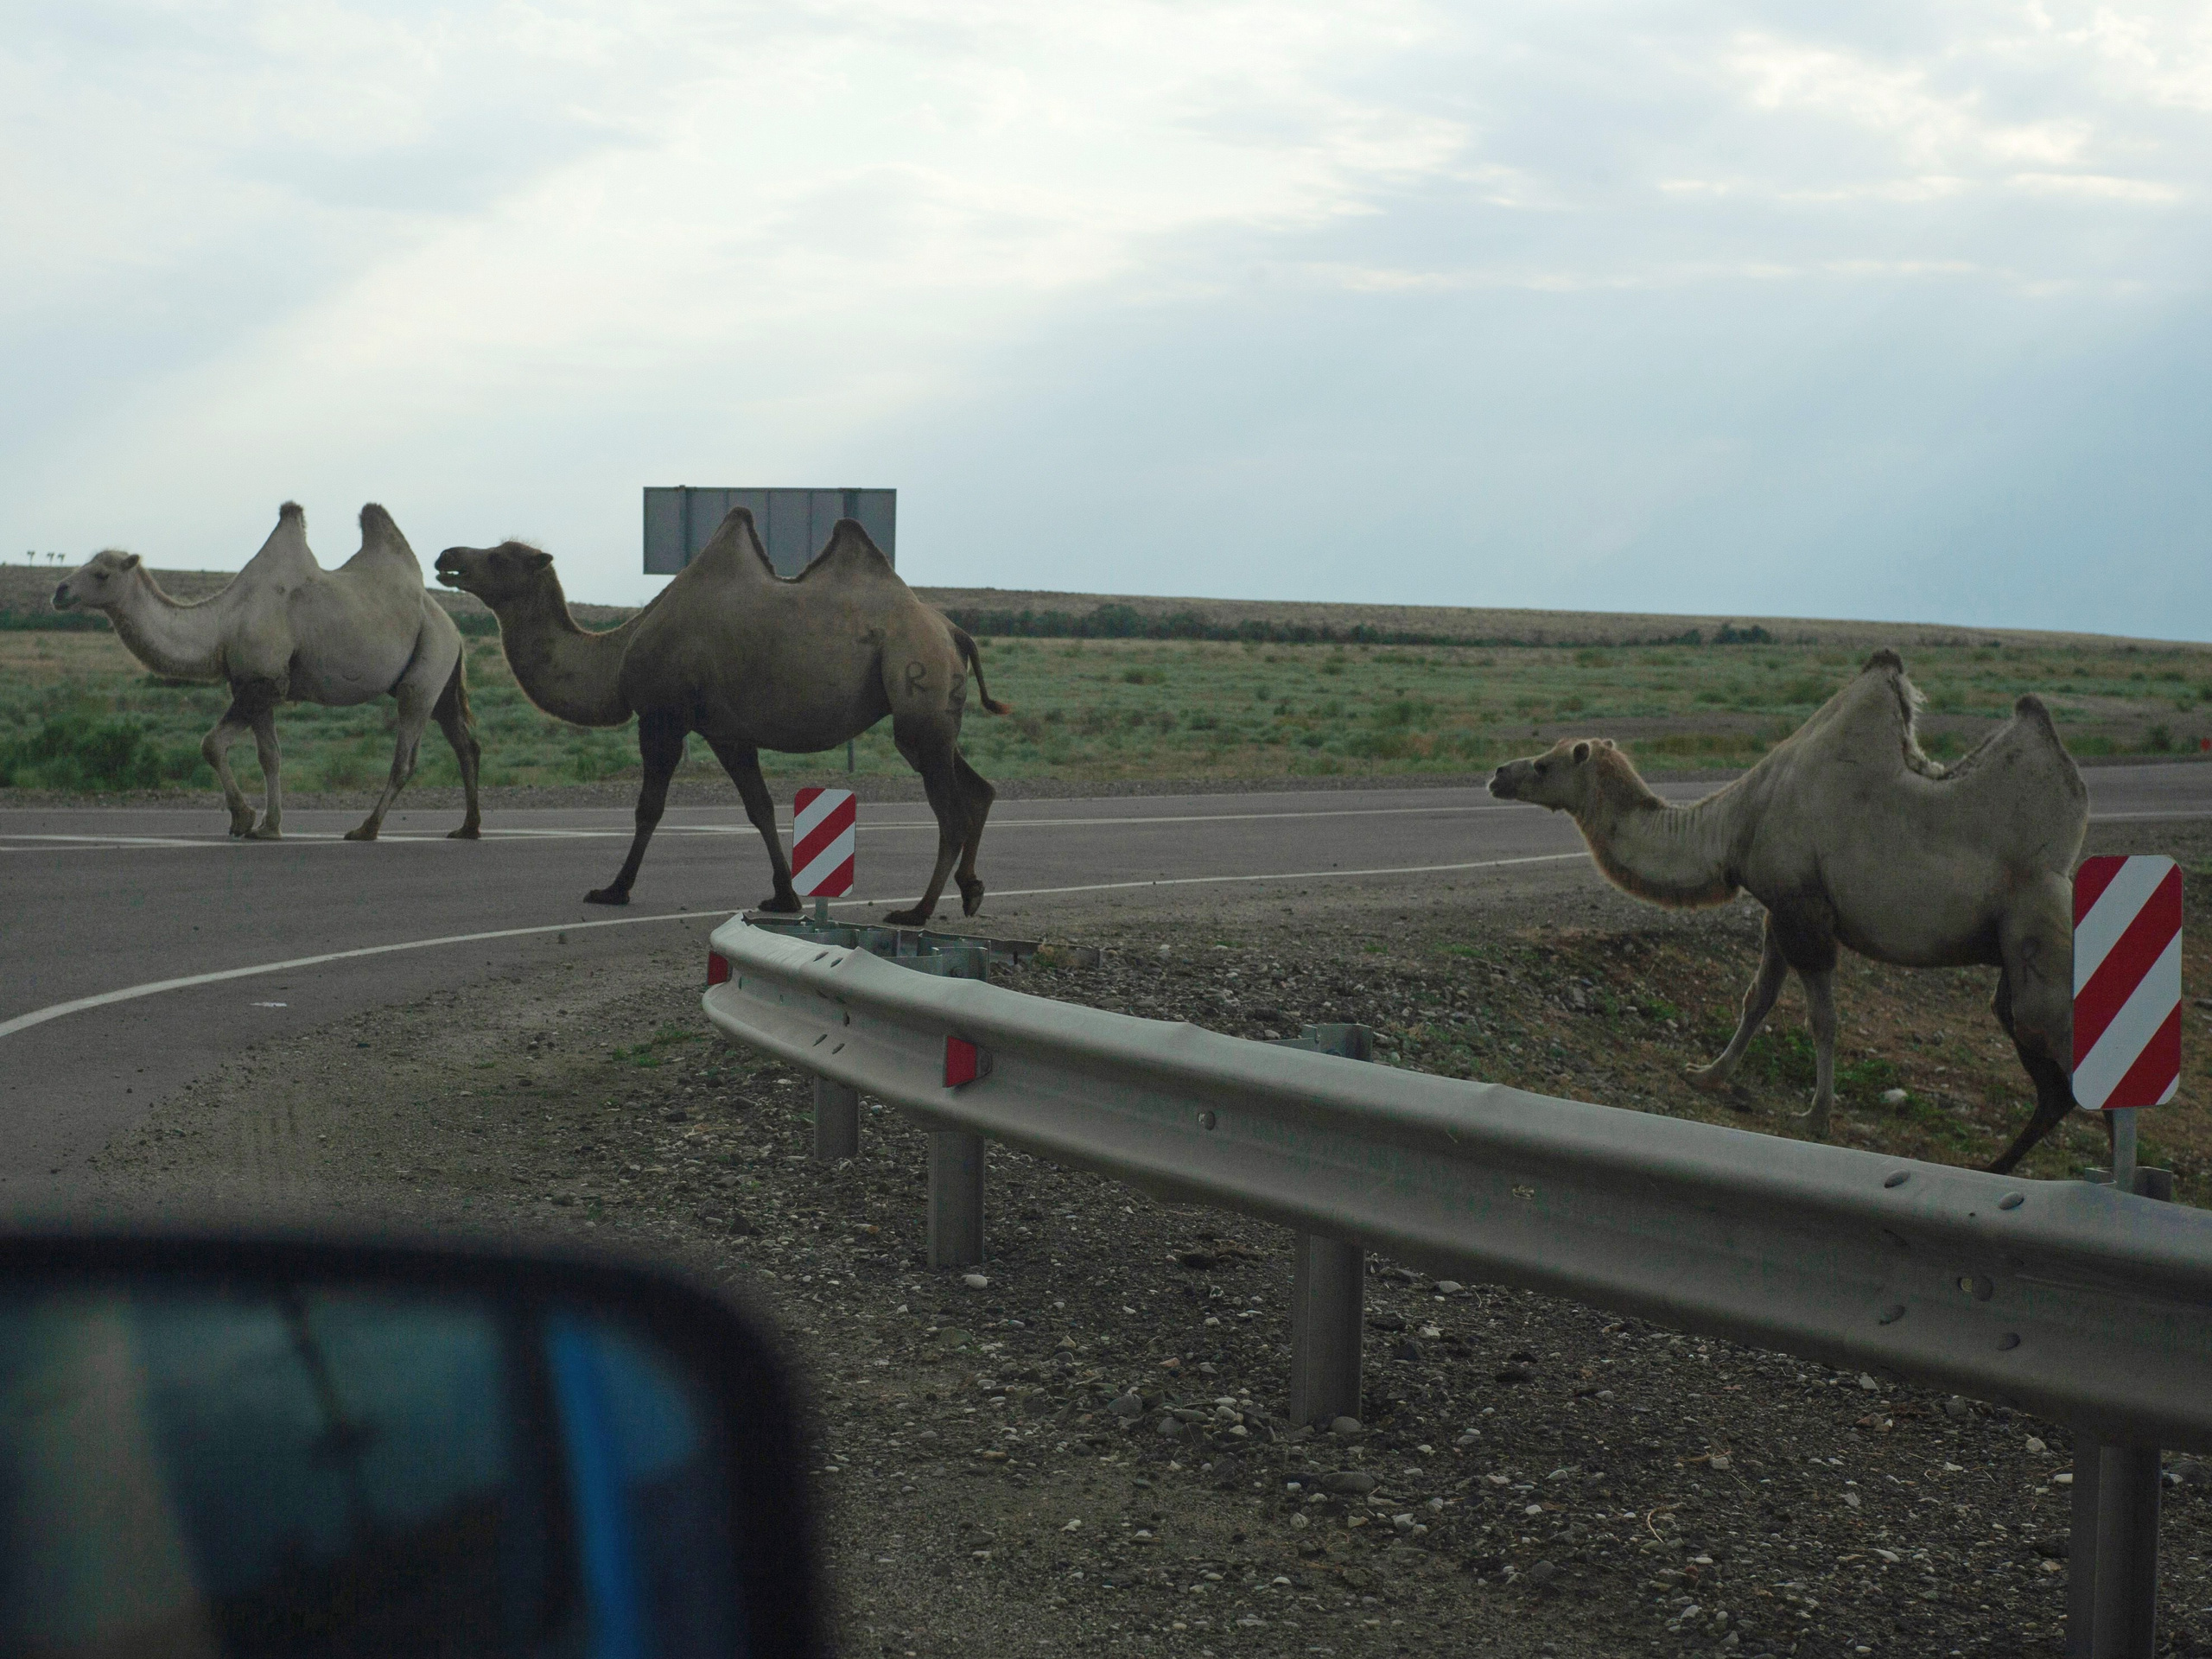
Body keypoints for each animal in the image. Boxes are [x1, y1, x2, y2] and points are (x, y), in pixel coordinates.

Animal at [52, 503, 481, 842]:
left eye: (102, 573)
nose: (59, 591)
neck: (223, 624)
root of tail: (452, 627)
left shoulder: (266, 681)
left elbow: (211, 744)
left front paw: (243, 819)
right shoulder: (249, 683)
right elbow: (269, 756)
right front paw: (269, 826)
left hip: (425, 668)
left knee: (405, 756)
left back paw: (366, 829)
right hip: (439, 676)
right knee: (465, 743)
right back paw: (468, 827)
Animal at [434, 506, 1007, 923]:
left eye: (500, 557)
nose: (446, 555)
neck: (617, 655)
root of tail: (954, 632)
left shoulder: (663, 716)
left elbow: (649, 808)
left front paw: (614, 889)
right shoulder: (727, 732)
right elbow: (760, 809)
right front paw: (784, 897)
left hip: (918, 682)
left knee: (950, 811)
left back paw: (918, 912)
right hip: (931, 720)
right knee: (978, 789)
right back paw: (971, 891)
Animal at [1487, 650, 2091, 1174]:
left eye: (1543, 765)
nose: (1497, 773)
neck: (1734, 824)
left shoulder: (1805, 909)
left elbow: (1823, 1019)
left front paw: (1816, 1117)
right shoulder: (1778, 908)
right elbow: (1757, 999)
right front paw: (1707, 1075)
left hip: (2043, 949)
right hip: (2014, 977)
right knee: (2055, 1085)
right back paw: (2000, 1167)